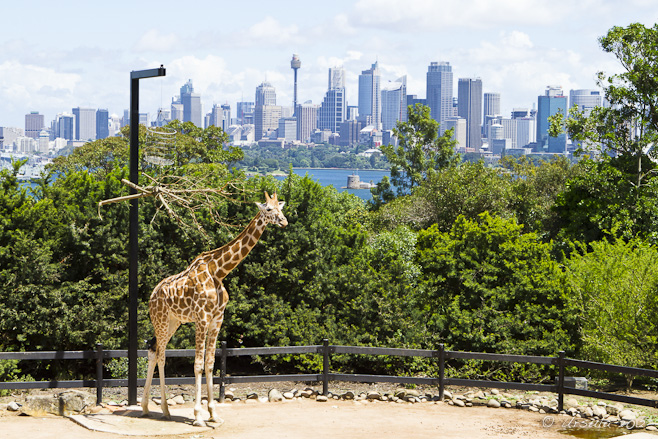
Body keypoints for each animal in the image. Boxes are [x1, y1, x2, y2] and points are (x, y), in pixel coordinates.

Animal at [140, 192, 286, 426]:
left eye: (281, 208)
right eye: (269, 209)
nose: (284, 221)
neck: (219, 272)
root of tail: (152, 295)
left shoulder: (218, 319)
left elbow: (210, 363)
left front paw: (213, 414)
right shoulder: (202, 318)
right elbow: (198, 364)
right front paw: (198, 416)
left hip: (174, 322)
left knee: (154, 351)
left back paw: (147, 407)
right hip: (160, 319)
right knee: (161, 355)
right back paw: (164, 409)